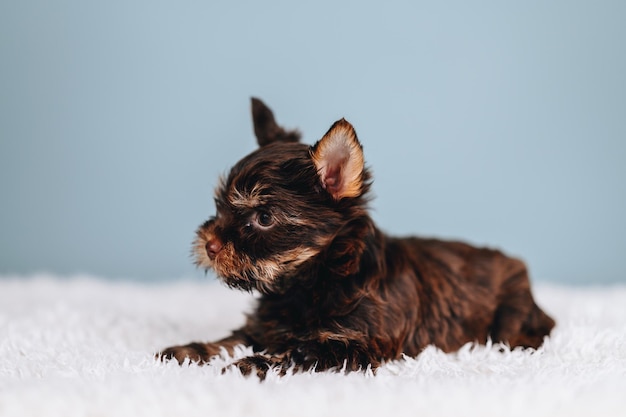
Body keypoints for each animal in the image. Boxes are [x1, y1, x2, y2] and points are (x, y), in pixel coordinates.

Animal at [158, 97, 552, 376]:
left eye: (264, 217)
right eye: (219, 207)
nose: (209, 244)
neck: (310, 282)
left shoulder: (352, 346)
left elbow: (298, 352)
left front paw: (252, 364)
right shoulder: (263, 328)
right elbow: (231, 340)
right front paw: (188, 351)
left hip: (512, 315)